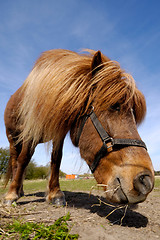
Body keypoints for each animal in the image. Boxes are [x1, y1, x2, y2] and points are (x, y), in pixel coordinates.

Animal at [3, 49, 154, 206]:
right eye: (114, 106)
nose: (146, 182)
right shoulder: (30, 132)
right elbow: (24, 159)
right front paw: (11, 194)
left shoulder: (59, 132)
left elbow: (56, 159)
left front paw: (55, 193)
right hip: (12, 138)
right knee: (15, 160)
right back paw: (16, 190)